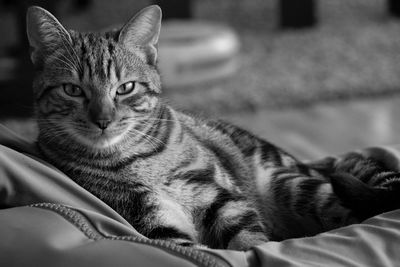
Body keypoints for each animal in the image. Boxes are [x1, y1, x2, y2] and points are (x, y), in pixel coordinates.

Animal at [26, 4, 400, 251]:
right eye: (73, 90)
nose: (103, 120)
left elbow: (250, 242)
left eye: (125, 88)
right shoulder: (153, 220)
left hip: (295, 184)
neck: (132, 159)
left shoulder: (219, 197)